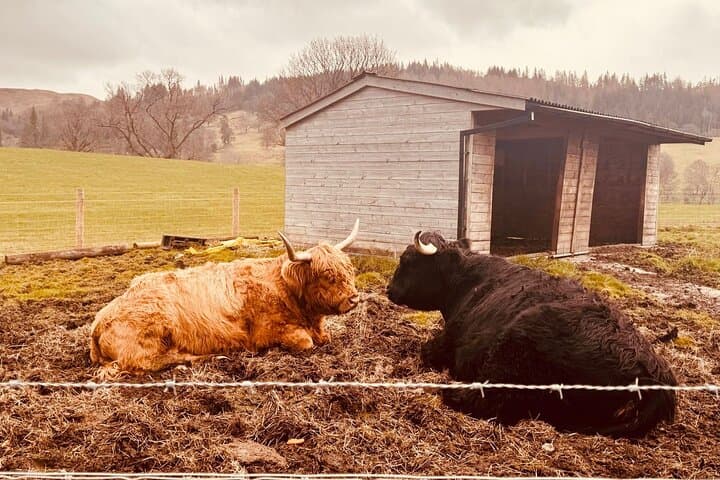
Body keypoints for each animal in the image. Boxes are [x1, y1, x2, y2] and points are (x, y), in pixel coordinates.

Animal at [90, 220, 361, 376]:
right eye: (327, 275)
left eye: (348, 269)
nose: (354, 299)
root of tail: (99, 321)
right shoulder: (268, 332)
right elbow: (306, 342)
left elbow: (324, 338)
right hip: (150, 335)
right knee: (150, 361)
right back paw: (210, 357)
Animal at [386, 231, 677, 437]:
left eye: (407, 260)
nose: (389, 289)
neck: (468, 283)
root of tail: (653, 374)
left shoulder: (447, 342)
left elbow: (426, 350)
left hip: (514, 351)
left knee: (487, 400)